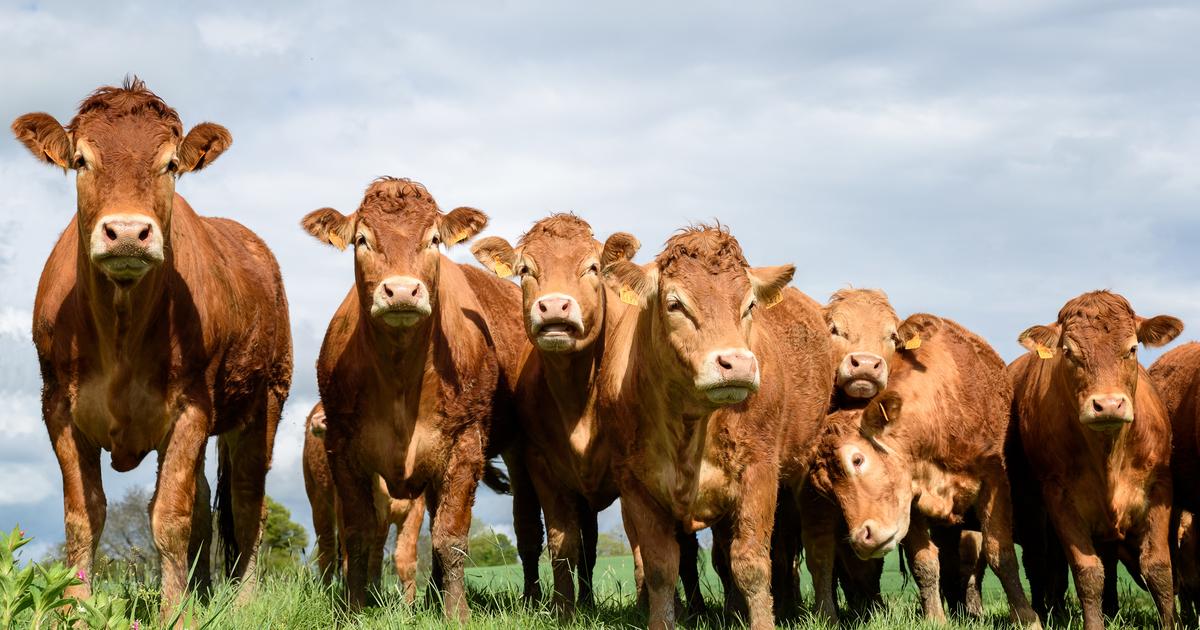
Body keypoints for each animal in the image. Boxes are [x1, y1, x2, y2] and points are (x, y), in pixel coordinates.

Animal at [11, 78, 292, 615]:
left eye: (171, 164)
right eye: (81, 160)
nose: (126, 232)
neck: (120, 333)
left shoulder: (191, 409)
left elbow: (170, 519)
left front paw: (174, 616)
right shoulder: (57, 408)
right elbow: (84, 517)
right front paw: (74, 611)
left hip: (264, 402)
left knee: (248, 505)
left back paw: (240, 604)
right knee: (205, 503)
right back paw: (201, 593)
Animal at [303, 402, 425, 601]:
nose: (319, 420)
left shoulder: (416, 509)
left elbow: (406, 562)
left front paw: (409, 607)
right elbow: (351, 562)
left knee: (375, 554)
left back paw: (374, 592)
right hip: (317, 499)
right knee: (327, 551)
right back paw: (325, 593)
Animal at [596, 224, 830, 630]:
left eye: (749, 305)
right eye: (675, 304)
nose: (737, 363)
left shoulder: (759, 473)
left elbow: (752, 564)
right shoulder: (634, 484)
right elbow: (660, 568)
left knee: (811, 553)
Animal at [808, 315, 1040, 626]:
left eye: (857, 460)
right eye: (826, 489)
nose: (862, 538)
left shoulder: (995, 483)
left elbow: (1000, 553)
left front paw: (1027, 617)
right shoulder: (910, 502)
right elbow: (925, 564)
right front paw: (936, 619)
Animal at [1011, 290, 1180, 630]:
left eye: (1132, 348)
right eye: (1068, 352)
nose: (1108, 405)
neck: (1108, 454)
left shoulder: (1159, 487)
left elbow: (1158, 569)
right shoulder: (1059, 498)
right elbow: (1087, 572)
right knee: (1041, 563)